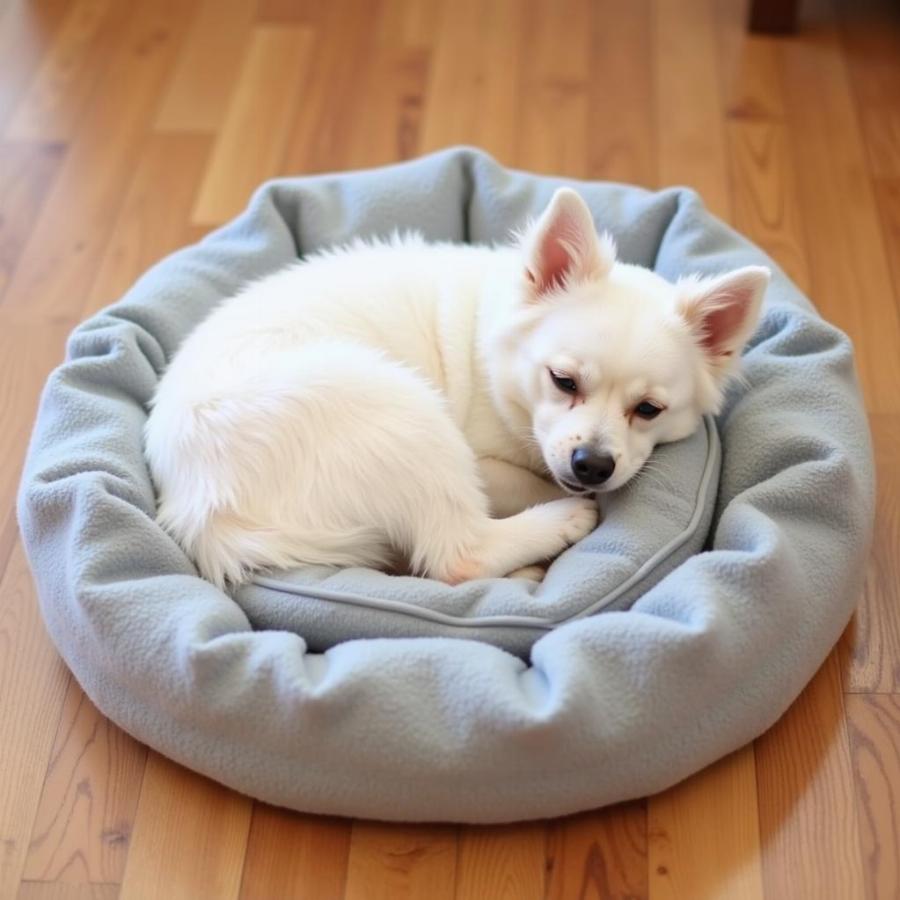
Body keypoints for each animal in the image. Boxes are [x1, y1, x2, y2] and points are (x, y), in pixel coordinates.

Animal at [146, 186, 768, 588]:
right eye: (563, 381)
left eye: (649, 409)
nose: (592, 465)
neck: (498, 363)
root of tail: (204, 515)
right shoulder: (484, 455)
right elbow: (520, 479)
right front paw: (568, 499)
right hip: (403, 411)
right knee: (458, 555)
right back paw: (557, 526)